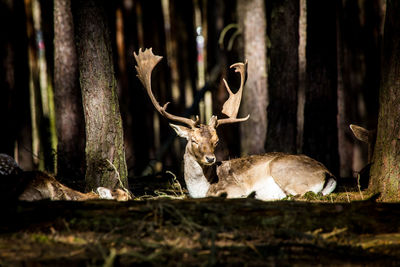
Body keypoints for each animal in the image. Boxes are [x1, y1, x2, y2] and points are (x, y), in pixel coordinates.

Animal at [134, 48, 338, 200]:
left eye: (216, 141)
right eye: (194, 141)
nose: (211, 159)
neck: (201, 189)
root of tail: (328, 174)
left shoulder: (232, 187)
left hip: (283, 169)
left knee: (304, 193)